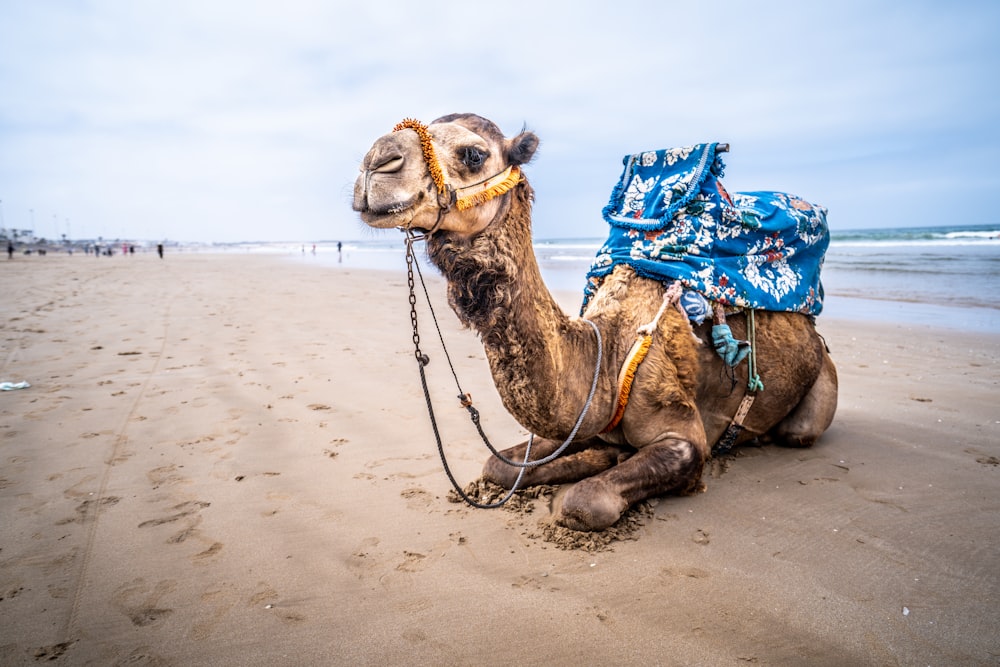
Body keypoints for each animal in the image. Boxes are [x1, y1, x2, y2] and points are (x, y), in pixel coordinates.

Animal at [352, 113, 836, 532]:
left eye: (473, 154)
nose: (376, 159)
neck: (607, 352)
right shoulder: (581, 422)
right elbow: (497, 466)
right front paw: (594, 459)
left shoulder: (684, 433)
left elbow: (583, 501)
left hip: (817, 388)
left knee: (798, 431)